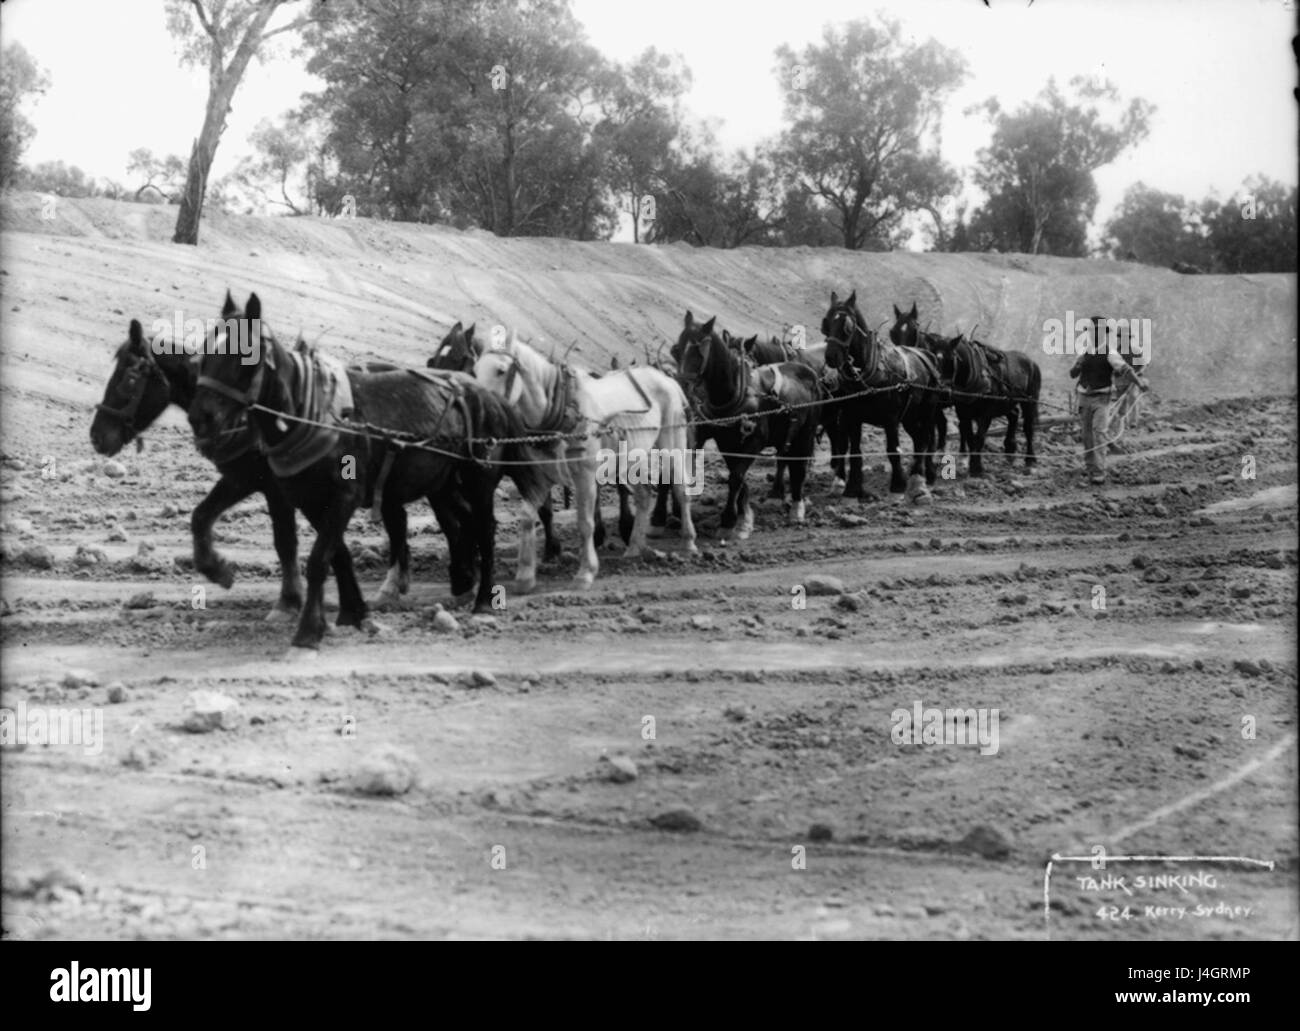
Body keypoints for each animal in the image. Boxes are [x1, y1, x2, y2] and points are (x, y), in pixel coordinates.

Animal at [187, 289, 543, 647]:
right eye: (204, 352)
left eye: (243, 355)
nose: (201, 417)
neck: (311, 415)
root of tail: (489, 395)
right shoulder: (308, 499)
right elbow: (337, 554)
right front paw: (354, 613)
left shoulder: (342, 494)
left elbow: (318, 559)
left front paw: (308, 629)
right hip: (443, 483)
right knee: (461, 523)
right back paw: (462, 580)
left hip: (478, 479)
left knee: (484, 528)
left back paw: (484, 600)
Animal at [473, 330, 696, 587]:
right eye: (475, 370)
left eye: (500, 370)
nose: (480, 411)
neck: (561, 411)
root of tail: (667, 379)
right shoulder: (541, 477)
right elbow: (528, 517)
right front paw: (525, 576)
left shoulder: (585, 476)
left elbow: (585, 522)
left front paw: (586, 572)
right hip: (631, 458)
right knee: (643, 495)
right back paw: (634, 547)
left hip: (672, 444)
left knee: (681, 489)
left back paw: (689, 542)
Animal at [676, 313, 816, 538]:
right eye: (677, 348)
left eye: (700, 352)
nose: (682, 386)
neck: (733, 394)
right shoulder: (725, 442)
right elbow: (737, 475)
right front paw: (743, 513)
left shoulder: (755, 442)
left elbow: (736, 477)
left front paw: (729, 520)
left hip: (806, 433)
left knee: (799, 467)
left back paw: (796, 508)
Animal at [821, 289, 946, 499]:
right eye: (826, 323)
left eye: (847, 325)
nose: (831, 356)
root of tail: (927, 356)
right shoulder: (851, 416)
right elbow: (854, 451)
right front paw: (853, 487)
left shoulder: (891, 418)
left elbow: (893, 450)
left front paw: (898, 483)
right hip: (909, 416)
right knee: (918, 438)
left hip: (927, 410)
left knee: (927, 438)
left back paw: (923, 475)